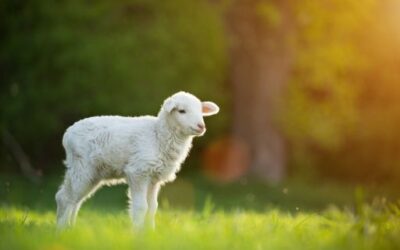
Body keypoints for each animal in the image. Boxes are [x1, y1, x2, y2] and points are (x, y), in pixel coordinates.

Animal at [54, 91, 219, 229]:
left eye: (201, 111)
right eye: (181, 111)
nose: (201, 126)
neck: (158, 135)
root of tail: (67, 134)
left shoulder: (154, 178)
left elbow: (152, 208)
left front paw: (151, 233)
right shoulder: (138, 172)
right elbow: (141, 207)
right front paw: (138, 235)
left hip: (92, 173)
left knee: (75, 200)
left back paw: (71, 228)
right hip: (82, 166)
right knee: (65, 198)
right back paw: (61, 231)